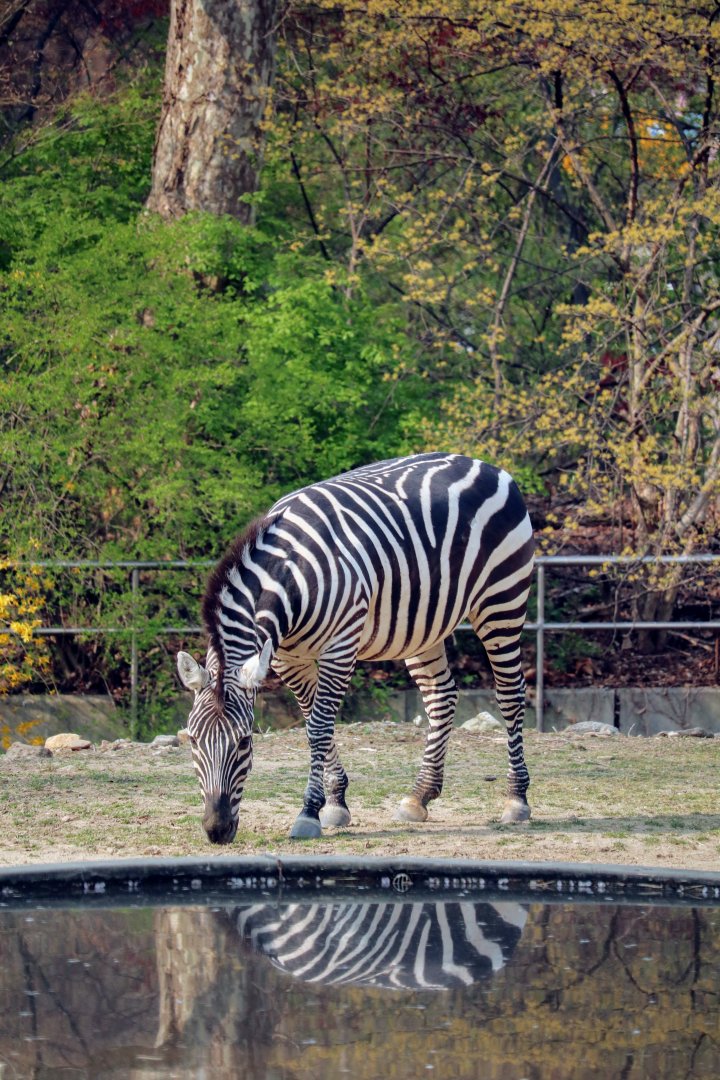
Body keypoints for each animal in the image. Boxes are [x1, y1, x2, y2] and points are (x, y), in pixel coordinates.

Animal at [177, 452, 534, 843]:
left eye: (244, 742)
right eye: (192, 741)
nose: (216, 830)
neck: (290, 573)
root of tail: (484, 464)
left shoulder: (340, 647)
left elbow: (320, 726)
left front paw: (309, 812)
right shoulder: (288, 659)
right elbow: (313, 722)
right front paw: (335, 803)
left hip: (502, 601)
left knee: (510, 694)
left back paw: (516, 799)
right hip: (422, 624)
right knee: (441, 695)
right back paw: (419, 796)